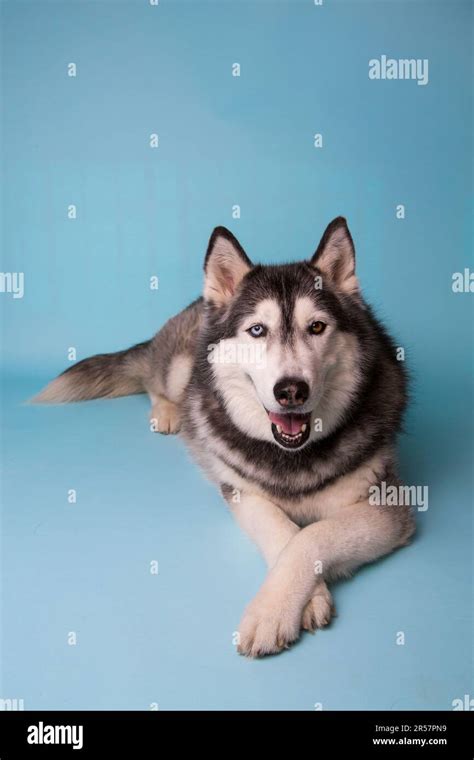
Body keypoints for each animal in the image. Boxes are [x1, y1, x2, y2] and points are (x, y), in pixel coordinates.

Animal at [34, 217, 414, 656]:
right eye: (257, 330)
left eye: (317, 327)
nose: (291, 390)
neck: (291, 457)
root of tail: (195, 304)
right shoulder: (240, 490)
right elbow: (282, 530)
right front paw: (290, 604)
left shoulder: (389, 506)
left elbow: (313, 535)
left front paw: (277, 607)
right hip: (182, 368)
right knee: (155, 381)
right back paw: (169, 412)